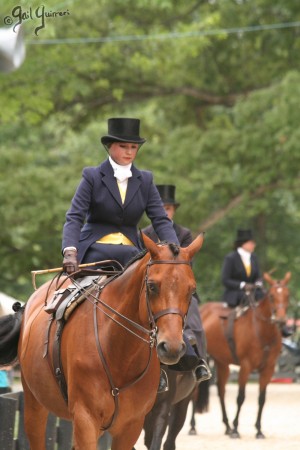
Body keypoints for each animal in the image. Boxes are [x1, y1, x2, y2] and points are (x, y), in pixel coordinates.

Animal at [0, 234, 204, 450]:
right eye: (152, 286)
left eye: (191, 290)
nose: (171, 347)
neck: (120, 352)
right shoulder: (86, 419)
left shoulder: (131, 425)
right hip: (34, 404)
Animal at [193, 272, 290, 438]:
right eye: (271, 296)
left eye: (287, 295)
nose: (281, 320)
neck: (262, 331)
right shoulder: (245, 366)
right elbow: (240, 397)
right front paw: (236, 429)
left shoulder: (268, 369)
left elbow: (262, 399)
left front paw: (258, 430)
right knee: (195, 392)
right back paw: (193, 427)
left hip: (222, 362)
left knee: (221, 391)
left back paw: (226, 426)